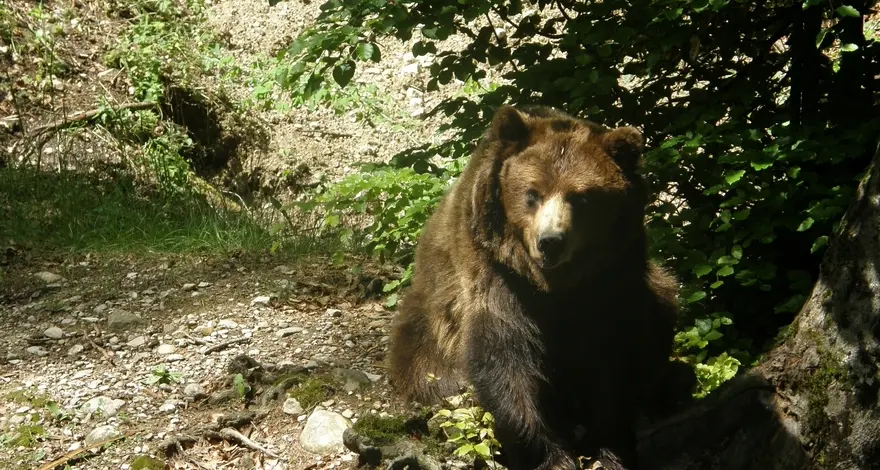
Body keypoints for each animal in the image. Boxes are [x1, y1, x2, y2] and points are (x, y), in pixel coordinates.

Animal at [387, 104, 689, 470]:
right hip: (428, 324)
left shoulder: (612, 272)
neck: (554, 286)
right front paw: (551, 455)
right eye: (532, 194)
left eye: (582, 197)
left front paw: (610, 445)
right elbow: (504, 355)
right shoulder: (498, 273)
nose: (550, 242)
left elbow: (614, 351)